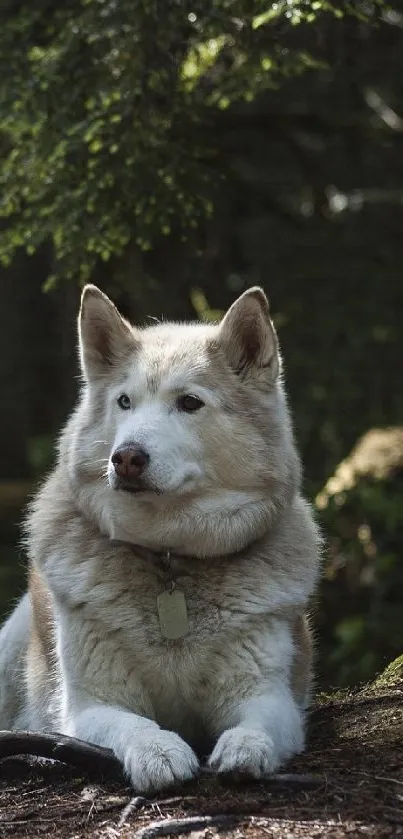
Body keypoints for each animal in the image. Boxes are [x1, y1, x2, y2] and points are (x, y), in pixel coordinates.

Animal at [0, 286, 322, 792]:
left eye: (189, 403)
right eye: (124, 402)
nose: (125, 458)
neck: (169, 557)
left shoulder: (271, 696)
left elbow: (257, 725)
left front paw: (245, 749)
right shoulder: (91, 706)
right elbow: (134, 725)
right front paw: (159, 752)